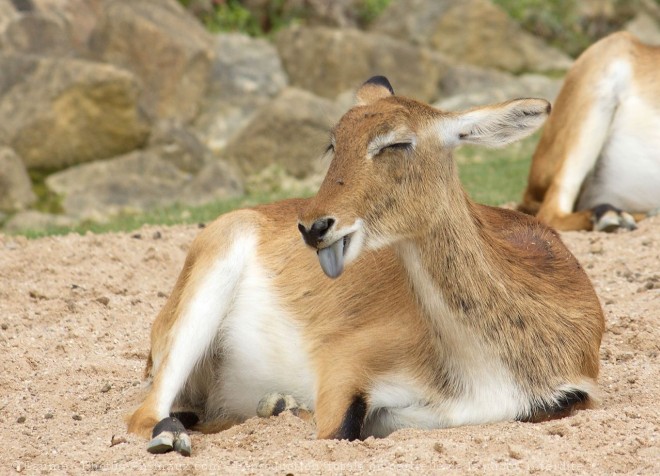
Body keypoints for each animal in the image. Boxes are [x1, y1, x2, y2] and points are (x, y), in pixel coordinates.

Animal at [126, 76, 604, 456]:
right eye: (334, 142)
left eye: (397, 141)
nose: (314, 225)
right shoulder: (344, 366)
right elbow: (336, 429)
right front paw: (281, 407)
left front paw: (281, 406)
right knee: (145, 416)